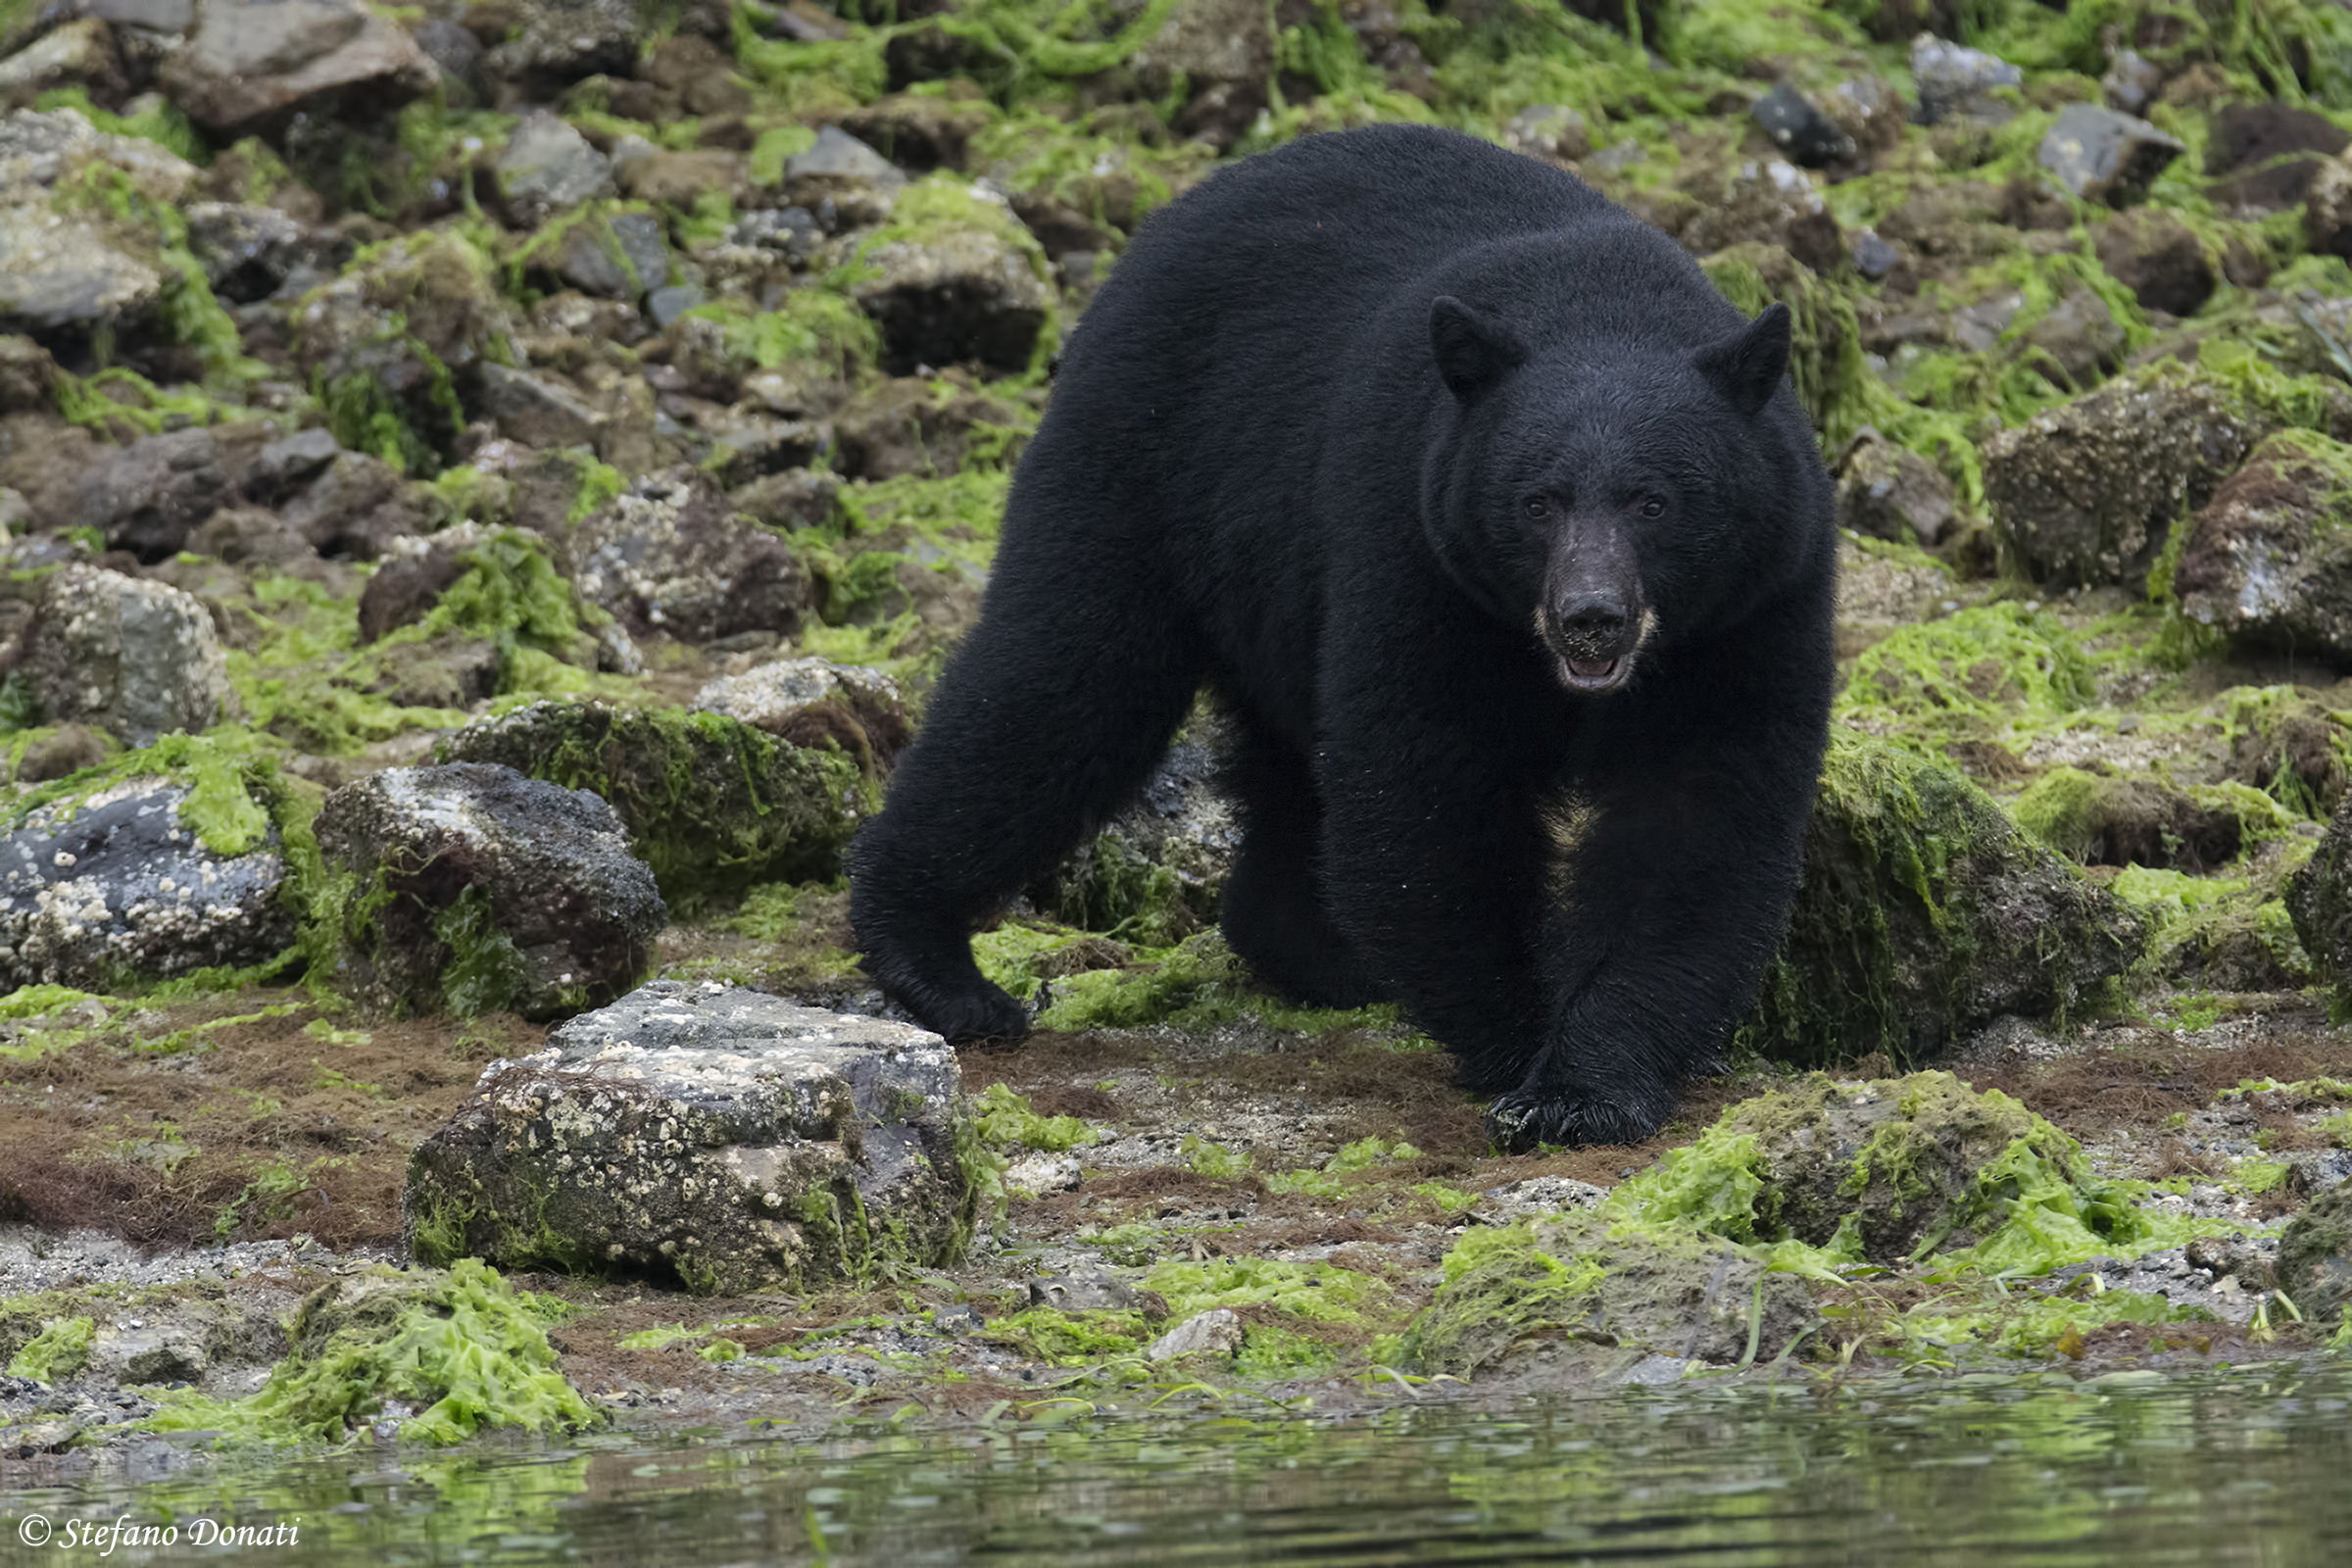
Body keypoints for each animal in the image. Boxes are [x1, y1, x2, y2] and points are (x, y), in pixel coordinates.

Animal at [848, 123, 1838, 1148]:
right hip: (1144, 454)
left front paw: (1587, 1085)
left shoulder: (1755, 603)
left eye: (1654, 502)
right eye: (1537, 502)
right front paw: (1521, 1049)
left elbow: (1696, 814)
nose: (1590, 615)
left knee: (1279, 769)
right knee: (1061, 681)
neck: (1603, 306)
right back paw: (935, 963)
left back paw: (1314, 953)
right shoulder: (1416, 547)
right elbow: (1424, 789)